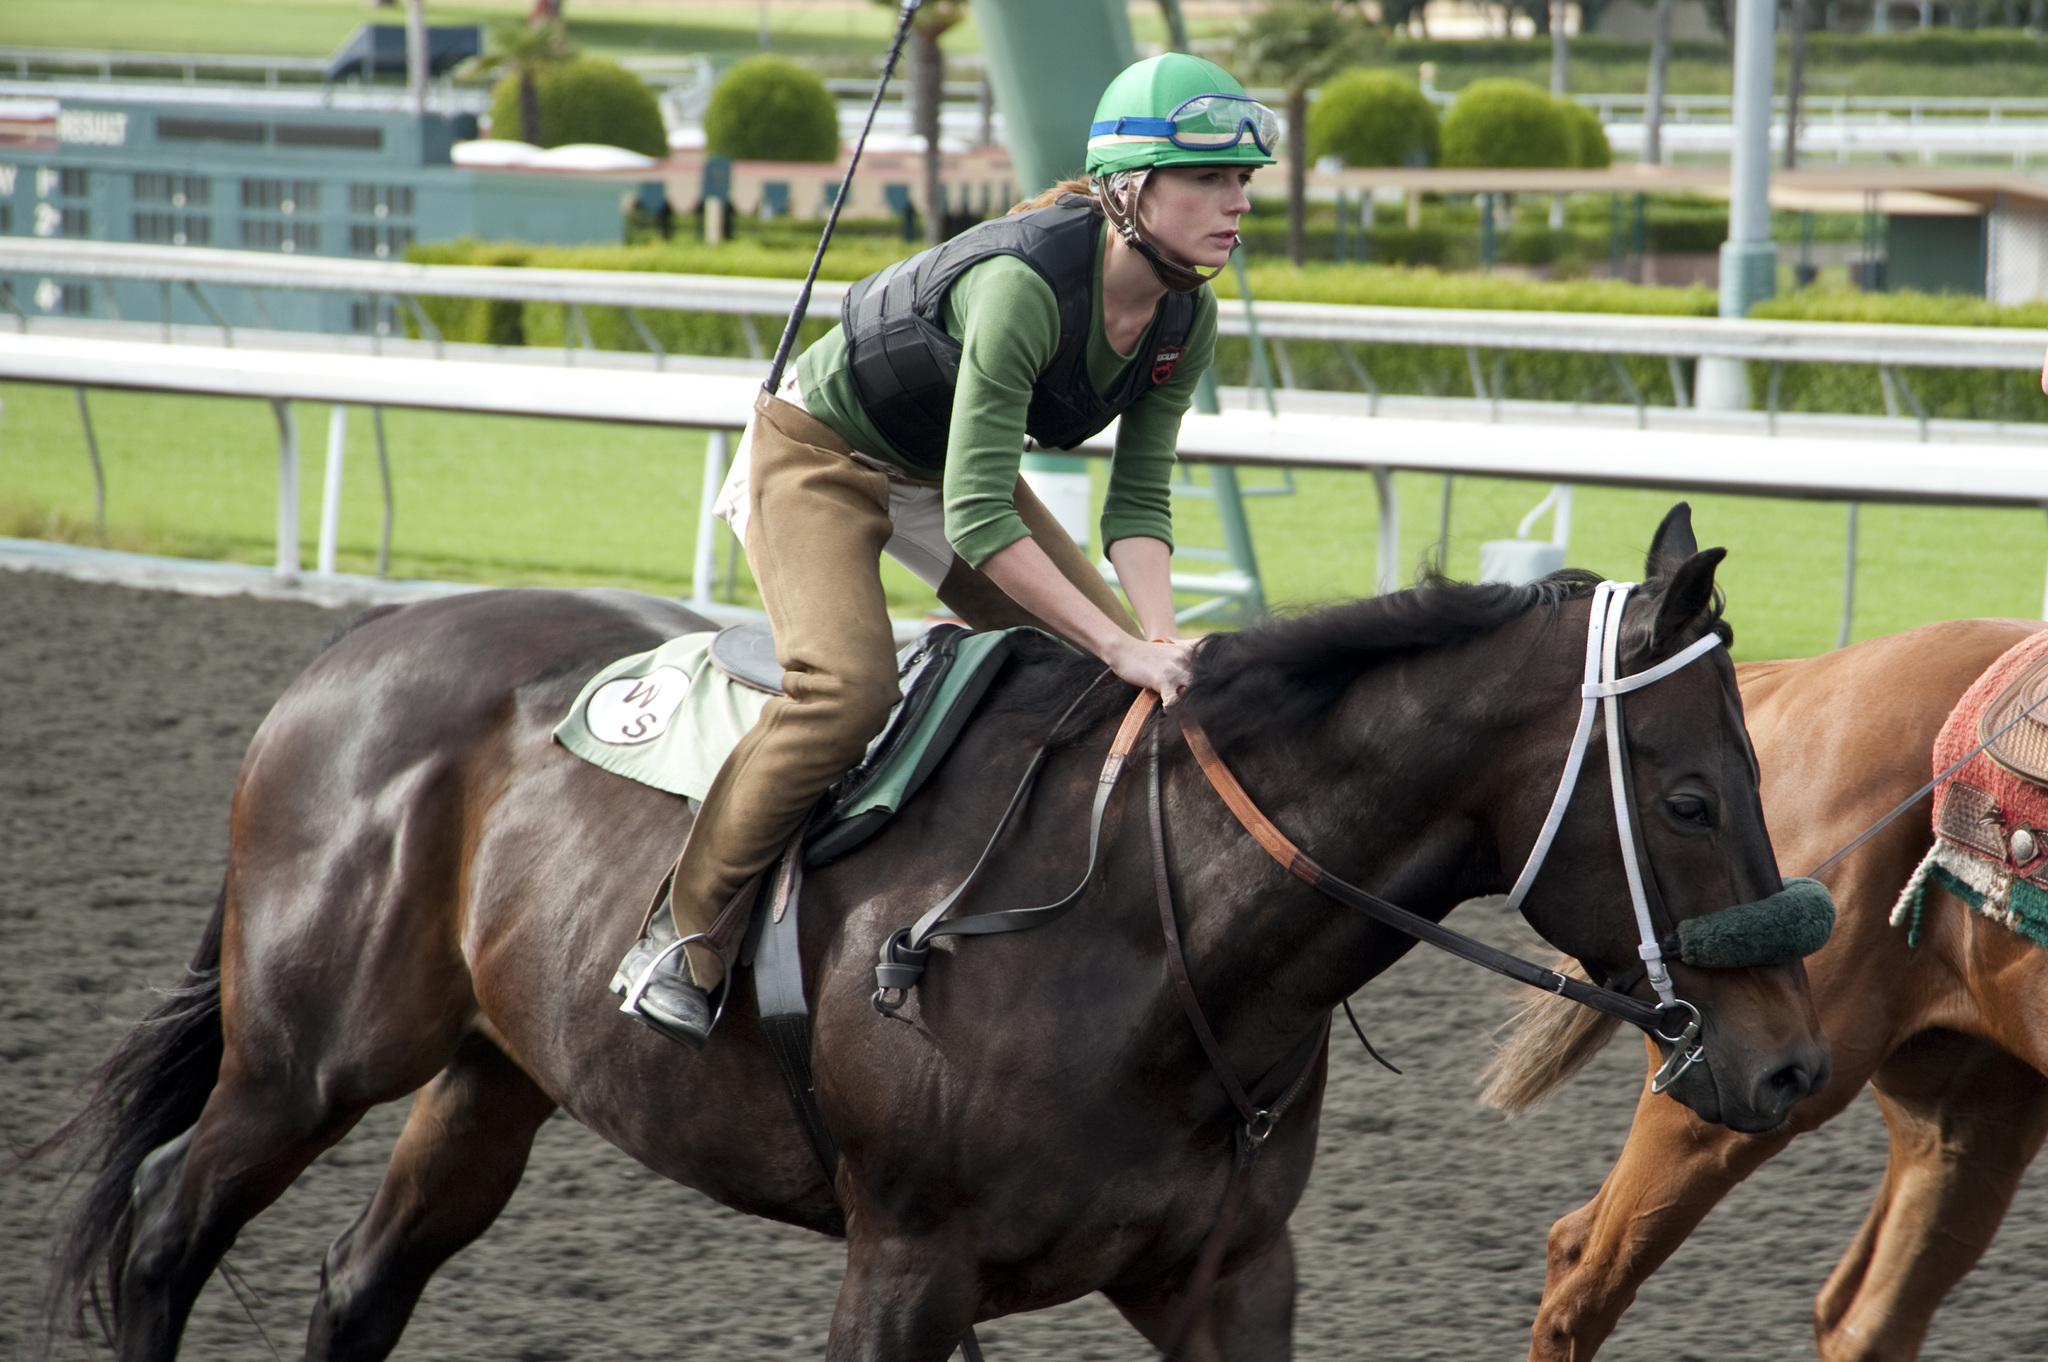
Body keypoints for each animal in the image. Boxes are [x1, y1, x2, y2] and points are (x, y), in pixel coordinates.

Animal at [36, 503, 1826, 1351]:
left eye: (1763, 764)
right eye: (1688, 795)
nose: (1796, 1068)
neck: (1160, 936)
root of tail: (346, 656)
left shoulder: (1226, 1274)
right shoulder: (903, 1264)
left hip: (495, 1076)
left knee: (358, 1280)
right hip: (307, 1055)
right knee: (165, 1222)